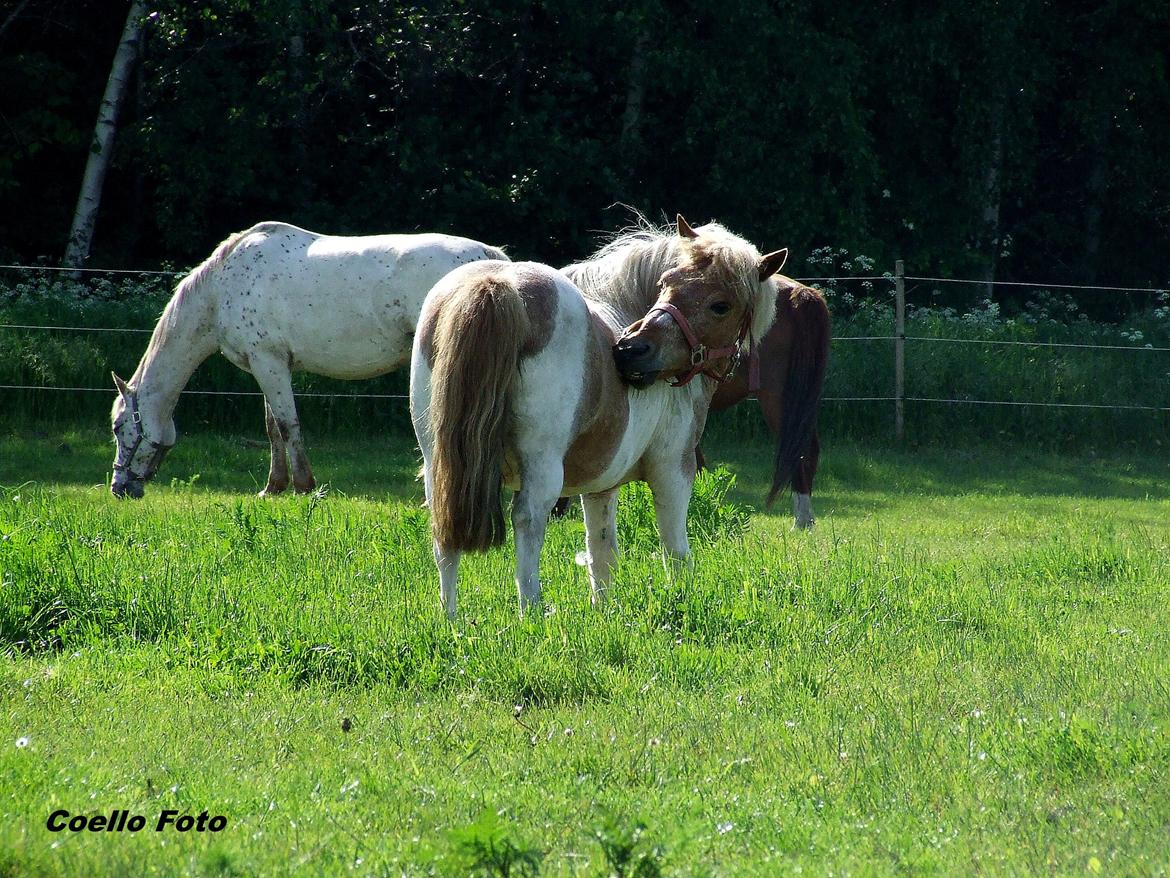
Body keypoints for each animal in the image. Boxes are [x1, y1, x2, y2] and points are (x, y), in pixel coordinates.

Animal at [110, 223, 507, 498]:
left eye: (117, 427)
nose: (119, 488)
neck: (221, 288)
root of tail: (491, 257)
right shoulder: (267, 365)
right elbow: (272, 427)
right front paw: (273, 486)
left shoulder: (268, 362)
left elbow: (288, 425)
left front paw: (303, 484)